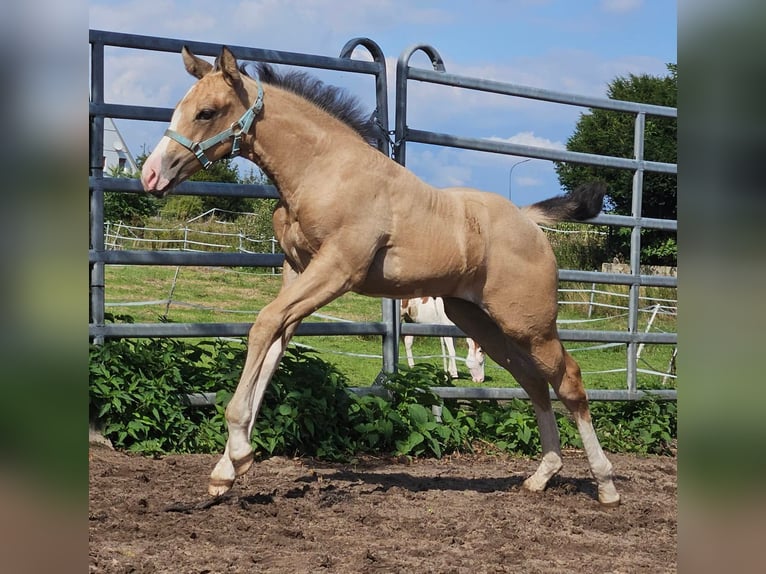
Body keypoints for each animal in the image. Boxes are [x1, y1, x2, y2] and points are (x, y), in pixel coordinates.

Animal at [140, 46, 620, 506]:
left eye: (206, 112)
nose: (151, 174)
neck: (324, 171)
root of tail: (529, 221)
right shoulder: (297, 273)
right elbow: (274, 342)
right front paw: (226, 471)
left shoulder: (337, 270)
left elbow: (263, 324)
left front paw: (239, 452)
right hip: (482, 321)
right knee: (535, 382)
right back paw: (542, 476)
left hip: (530, 323)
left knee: (569, 381)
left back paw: (606, 485)